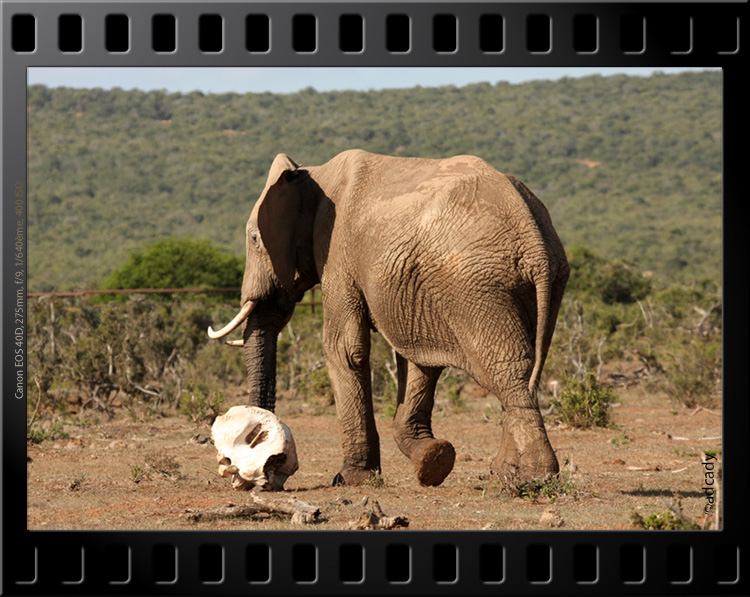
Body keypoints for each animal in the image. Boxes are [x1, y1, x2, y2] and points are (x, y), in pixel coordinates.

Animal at [207, 149, 568, 484]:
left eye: (254, 239)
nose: (265, 470)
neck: (313, 173)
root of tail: (534, 240)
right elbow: (417, 358)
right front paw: (433, 460)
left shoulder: (337, 252)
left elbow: (344, 348)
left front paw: (351, 479)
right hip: (537, 282)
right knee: (522, 368)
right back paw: (506, 472)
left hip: (478, 284)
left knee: (507, 370)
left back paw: (530, 477)